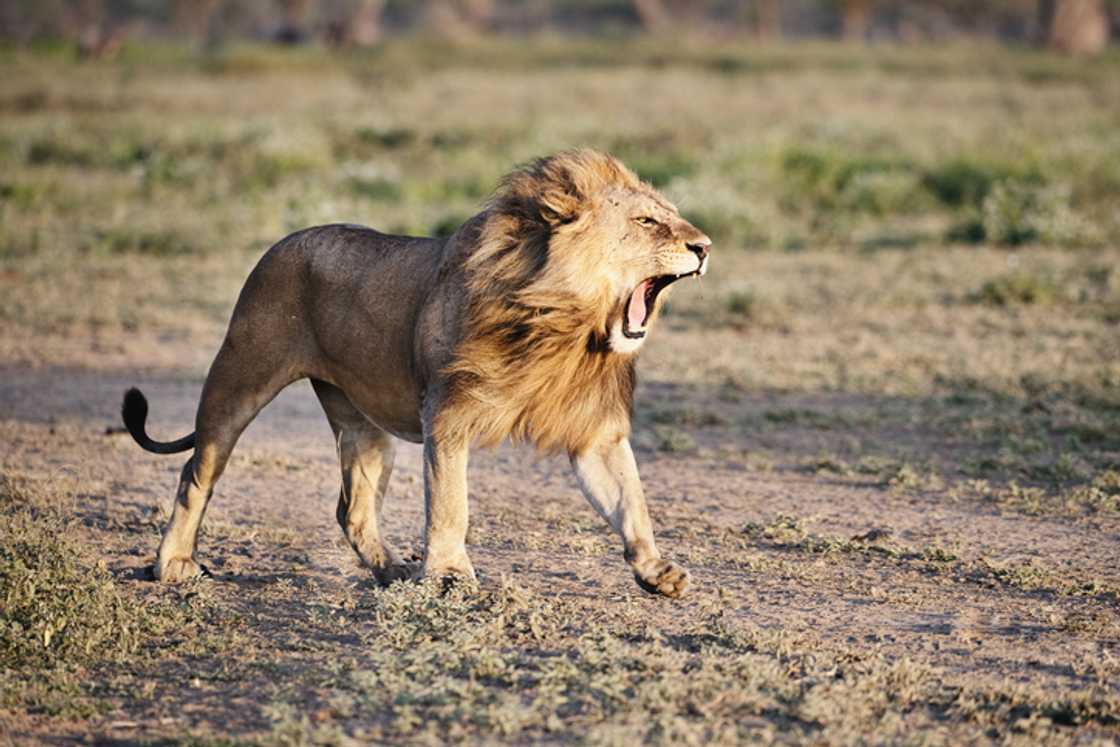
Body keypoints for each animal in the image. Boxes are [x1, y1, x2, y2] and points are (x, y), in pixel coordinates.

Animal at [122, 148, 712, 600]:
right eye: (646, 222)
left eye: (671, 215)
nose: (704, 247)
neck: (561, 326)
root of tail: (285, 239)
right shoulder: (447, 415)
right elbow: (451, 506)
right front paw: (449, 575)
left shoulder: (594, 432)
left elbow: (630, 501)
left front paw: (655, 570)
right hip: (239, 376)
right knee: (196, 473)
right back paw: (172, 564)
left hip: (362, 425)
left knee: (353, 510)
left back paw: (393, 572)